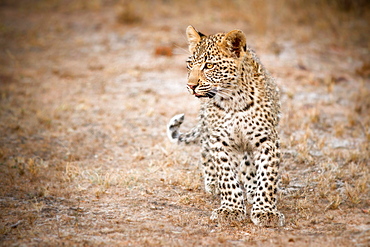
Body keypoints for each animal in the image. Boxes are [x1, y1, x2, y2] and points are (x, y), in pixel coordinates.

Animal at [166, 26, 284, 227]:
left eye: (209, 66)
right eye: (190, 65)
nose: (190, 85)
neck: (233, 100)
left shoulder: (266, 140)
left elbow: (267, 177)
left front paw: (265, 211)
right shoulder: (220, 140)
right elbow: (227, 176)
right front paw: (231, 209)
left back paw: (251, 189)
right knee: (205, 150)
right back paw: (213, 183)